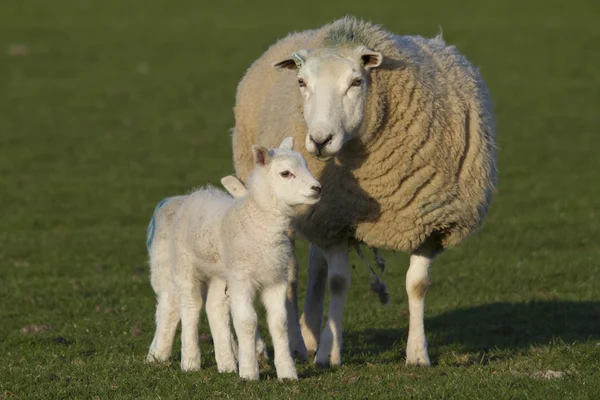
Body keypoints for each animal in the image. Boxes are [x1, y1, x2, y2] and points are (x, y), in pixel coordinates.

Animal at [146, 136, 324, 380]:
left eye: (306, 166)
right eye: (285, 173)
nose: (317, 188)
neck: (257, 222)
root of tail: (198, 193)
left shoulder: (276, 279)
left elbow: (280, 323)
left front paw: (287, 372)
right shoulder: (241, 278)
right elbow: (247, 322)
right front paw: (249, 373)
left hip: (219, 273)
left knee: (215, 308)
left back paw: (226, 365)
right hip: (185, 265)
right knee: (190, 306)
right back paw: (190, 361)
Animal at [230, 15, 496, 368]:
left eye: (356, 82)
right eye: (301, 82)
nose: (320, 140)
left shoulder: (429, 222)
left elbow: (417, 285)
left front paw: (417, 353)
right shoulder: (335, 219)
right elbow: (339, 283)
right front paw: (329, 354)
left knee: (315, 263)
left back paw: (310, 334)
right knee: (289, 273)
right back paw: (298, 344)